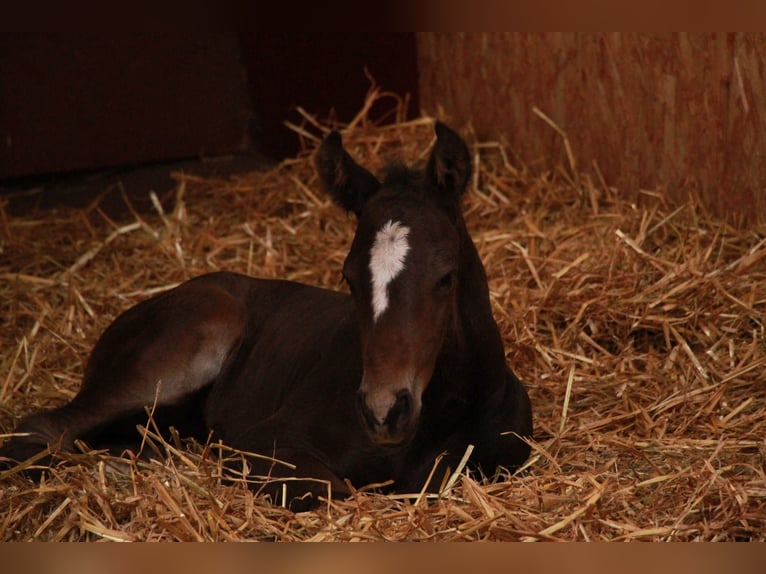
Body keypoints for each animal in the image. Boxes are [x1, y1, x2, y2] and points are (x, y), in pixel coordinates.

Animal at [0, 122, 533, 511]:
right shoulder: (267, 442)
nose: (383, 412)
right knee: (47, 427)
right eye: (349, 278)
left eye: (445, 276)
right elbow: (331, 490)